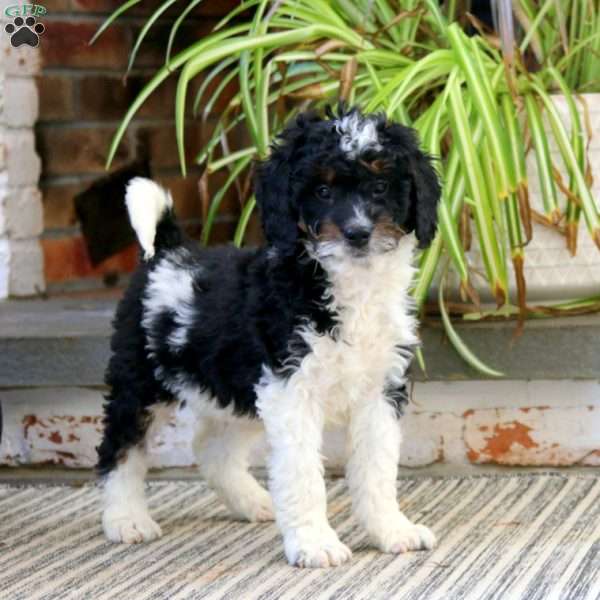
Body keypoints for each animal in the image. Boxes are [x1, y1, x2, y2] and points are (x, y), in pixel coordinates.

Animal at [97, 106, 440, 568]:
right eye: (322, 190)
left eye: (381, 185)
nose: (358, 233)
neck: (345, 285)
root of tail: (169, 250)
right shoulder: (292, 390)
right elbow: (303, 474)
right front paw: (315, 544)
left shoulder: (380, 391)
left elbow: (377, 468)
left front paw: (391, 531)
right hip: (141, 379)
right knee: (121, 447)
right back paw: (126, 520)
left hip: (237, 388)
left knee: (212, 448)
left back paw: (253, 502)